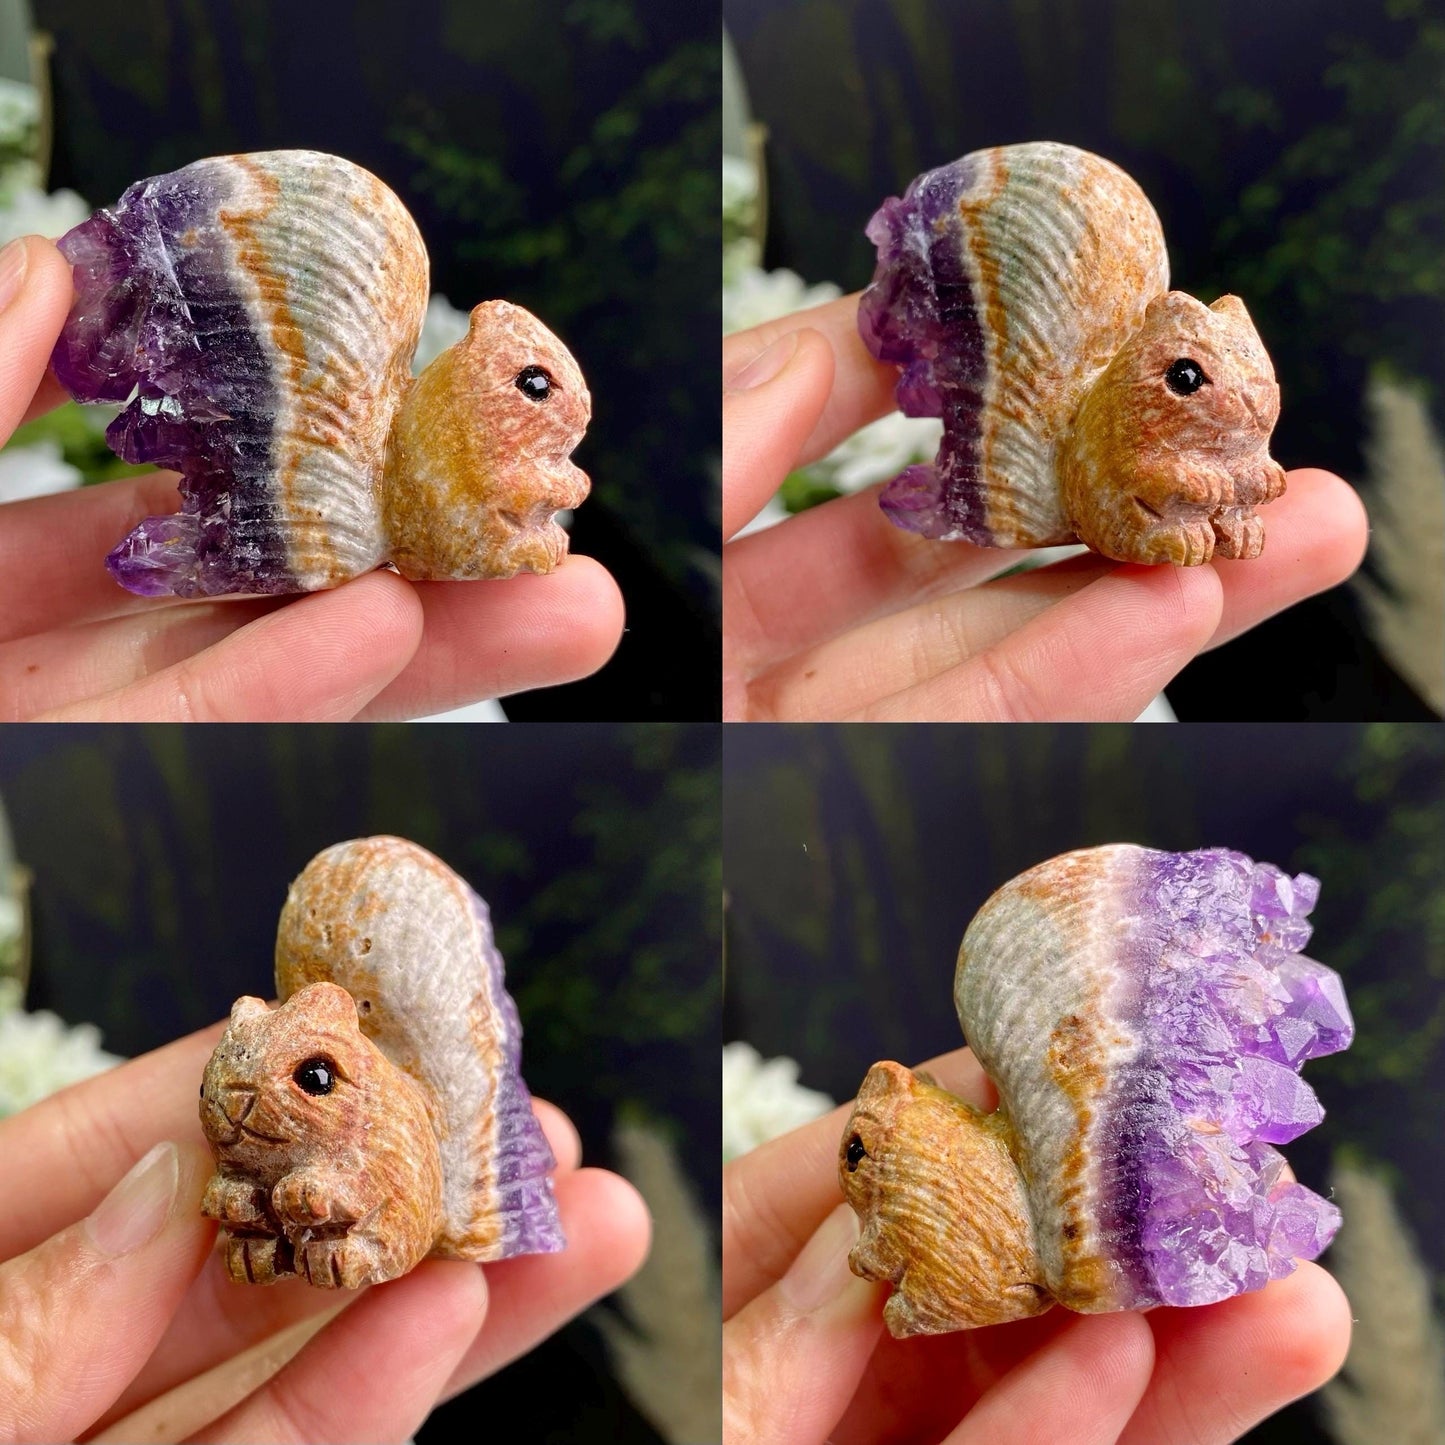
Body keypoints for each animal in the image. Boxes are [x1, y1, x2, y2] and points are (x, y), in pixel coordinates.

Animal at [199, 836, 563, 1289]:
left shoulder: (386, 1154)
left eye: (317, 1077)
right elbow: (229, 1186)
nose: (234, 1099)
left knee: (377, 1247)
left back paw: (332, 1258)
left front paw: (301, 1191)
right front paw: (227, 1196)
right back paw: (251, 1255)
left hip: (395, 1231)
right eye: (203, 1086)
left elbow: (360, 1186)